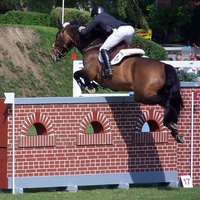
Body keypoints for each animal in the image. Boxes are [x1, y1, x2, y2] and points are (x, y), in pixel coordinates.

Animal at [49, 19, 184, 144]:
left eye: (57, 36)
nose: (52, 55)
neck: (92, 44)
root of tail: (164, 66)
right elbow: (79, 75)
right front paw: (91, 86)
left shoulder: (89, 72)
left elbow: (76, 74)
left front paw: (88, 87)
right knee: (171, 102)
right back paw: (175, 131)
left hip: (142, 95)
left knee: (167, 101)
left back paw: (170, 123)